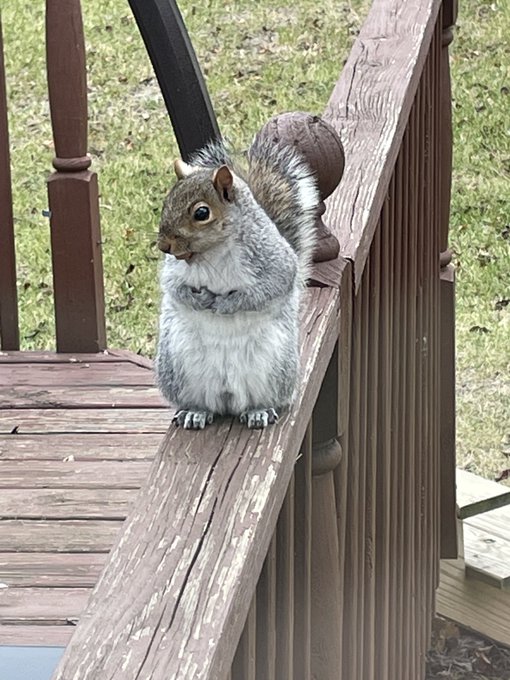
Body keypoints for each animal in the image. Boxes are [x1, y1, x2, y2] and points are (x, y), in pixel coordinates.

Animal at [155, 135, 319, 429]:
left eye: (201, 213)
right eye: (167, 201)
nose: (164, 246)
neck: (213, 253)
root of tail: (227, 396)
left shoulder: (274, 262)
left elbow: (269, 288)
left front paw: (226, 304)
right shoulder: (174, 271)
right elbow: (174, 287)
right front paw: (199, 299)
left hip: (273, 366)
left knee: (259, 400)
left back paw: (258, 411)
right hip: (179, 366)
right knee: (201, 402)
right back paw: (195, 411)